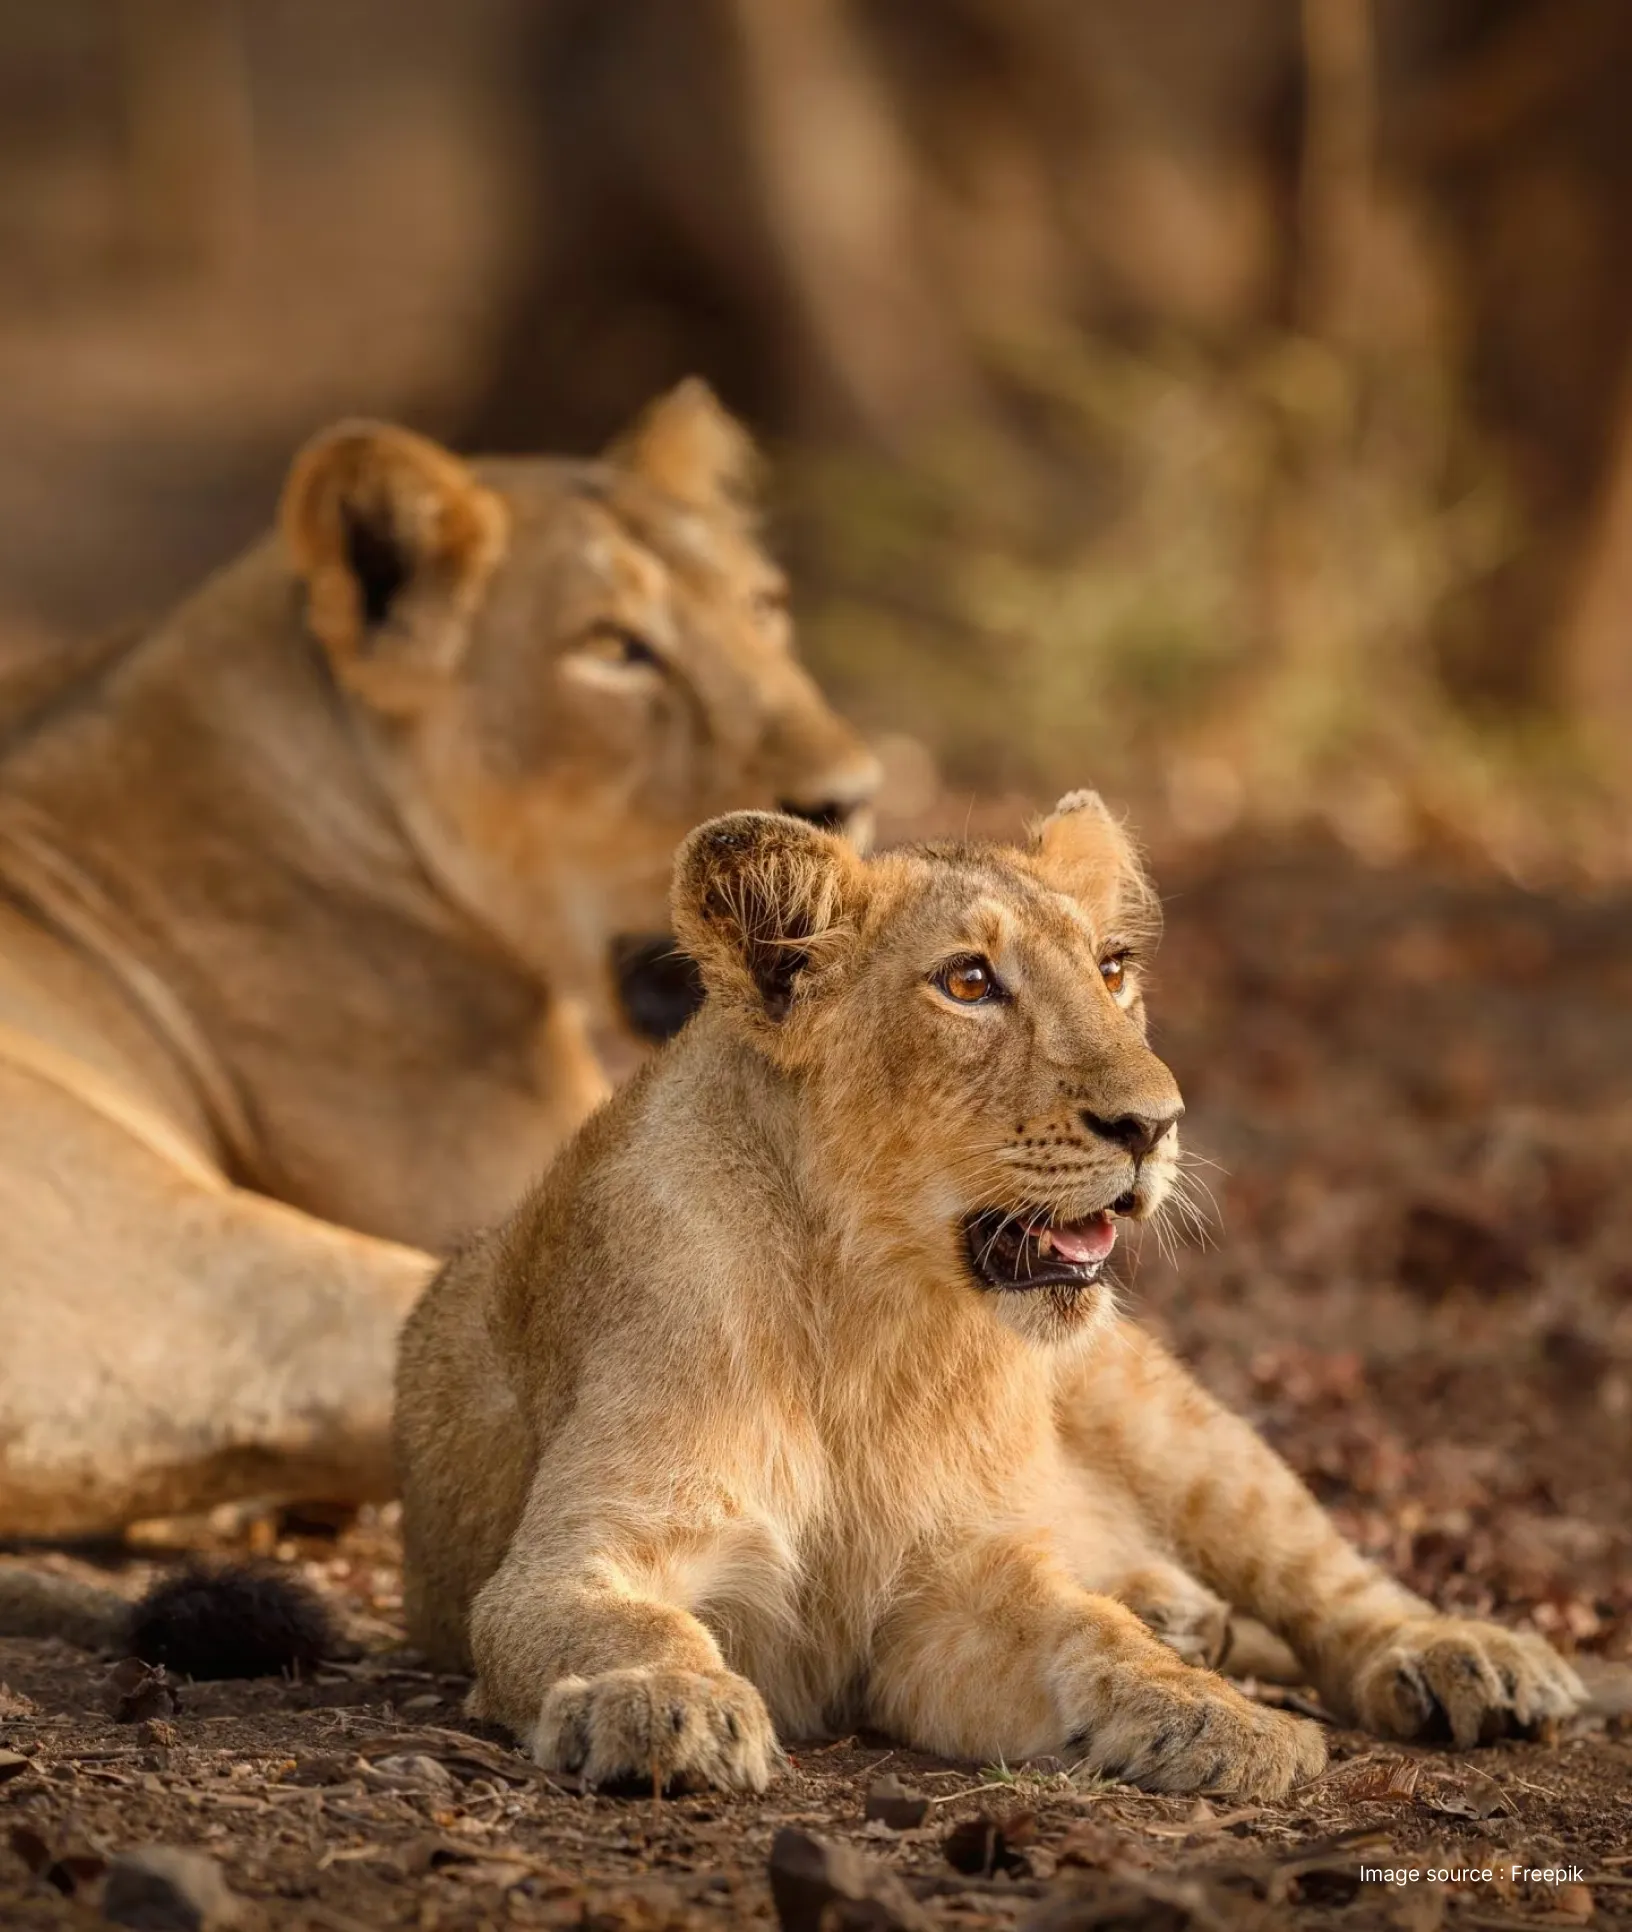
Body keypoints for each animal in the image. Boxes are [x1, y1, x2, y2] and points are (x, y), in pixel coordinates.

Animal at [395, 797, 1584, 1799]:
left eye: (1112, 969)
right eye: (968, 982)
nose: (1155, 1123)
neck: (873, 1317)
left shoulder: (949, 1587)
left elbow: (1091, 1636)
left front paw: (1223, 1720)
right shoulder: (571, 1564)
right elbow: (631, 1627)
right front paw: (664, 1703)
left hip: (1176, 1425)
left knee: (1324, 1575)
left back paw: (1462, 1655)